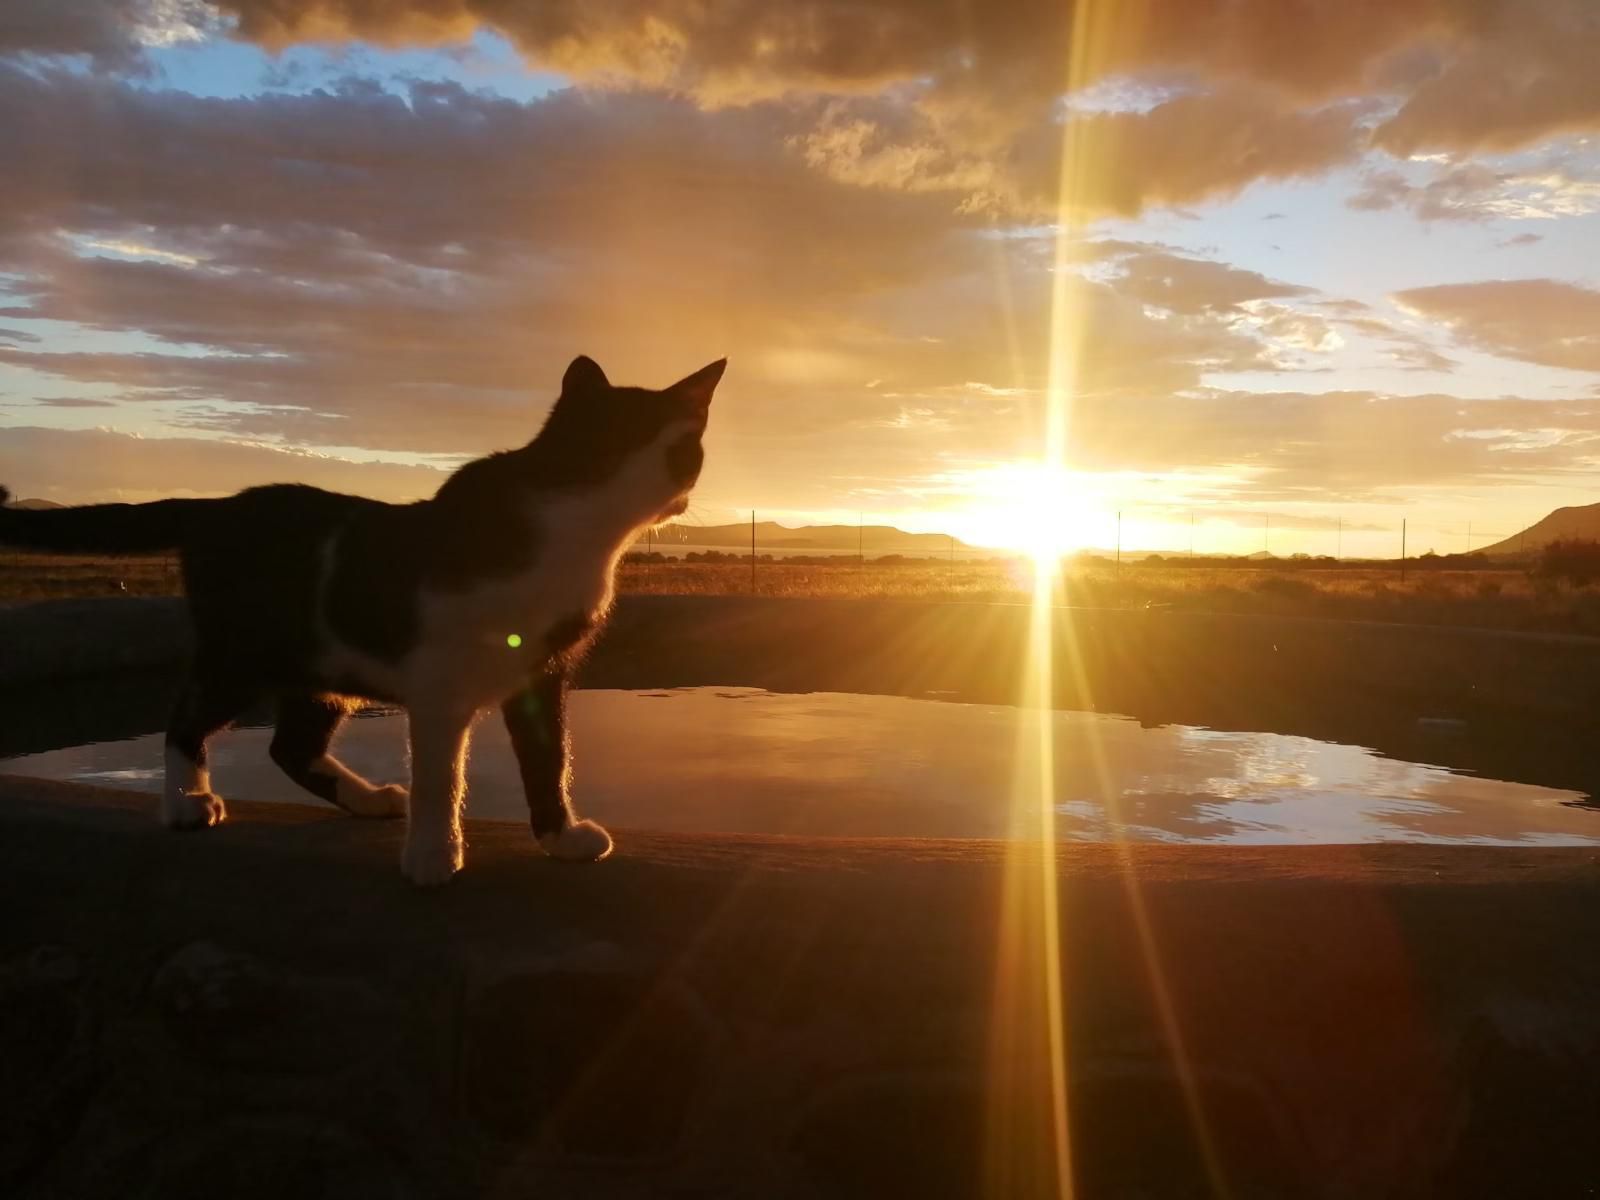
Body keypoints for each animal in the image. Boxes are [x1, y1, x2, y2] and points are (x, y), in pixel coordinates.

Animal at [0, 355, 726, 883]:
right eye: (629, 439)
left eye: (686, 446)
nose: (675, 474)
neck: (578, 535)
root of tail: (214, 507)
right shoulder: (439, 676)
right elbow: (442, 775)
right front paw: (433, 855)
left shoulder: (542, 672)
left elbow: (550, 758)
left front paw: (561, 838)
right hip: (246, 652)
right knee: (186, 717)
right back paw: (185, 803)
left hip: (323, 660)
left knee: (290, 746)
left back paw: (369, 799)